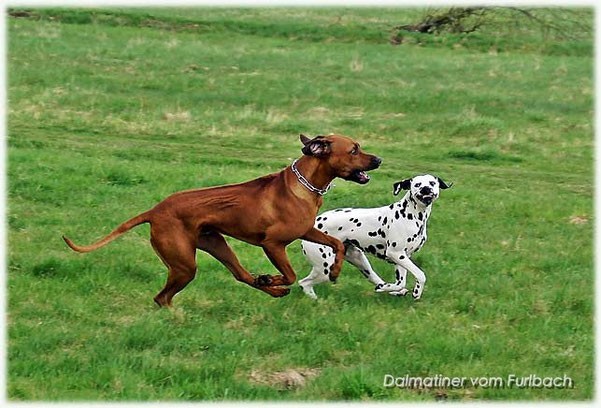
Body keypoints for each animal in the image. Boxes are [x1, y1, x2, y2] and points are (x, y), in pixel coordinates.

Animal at [62, 134, 380, 306]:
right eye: (353, 150)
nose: (379, 160)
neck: (304, 186)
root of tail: (155, 210)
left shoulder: (306, 230)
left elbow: (336, 244)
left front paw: (335, 271)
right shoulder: (272, 244)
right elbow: (290, 274)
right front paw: (276, 277)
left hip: (216, 243)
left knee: (241, 275)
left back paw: (271, 288)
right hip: (184, 263)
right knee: (162, 297)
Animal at [298, 175, 448, 300]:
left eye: (432, 183)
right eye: (417, 184)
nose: (425, 189)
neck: (411, 214)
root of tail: (312, 225)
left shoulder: (403, 257)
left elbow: (401, 282)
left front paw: (389, 288)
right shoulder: (396, 253)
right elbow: (421, 275)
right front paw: (417, 291)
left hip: (360, 261)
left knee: (376, 279)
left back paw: (385, 287)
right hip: (326, 269)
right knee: (304, 283)